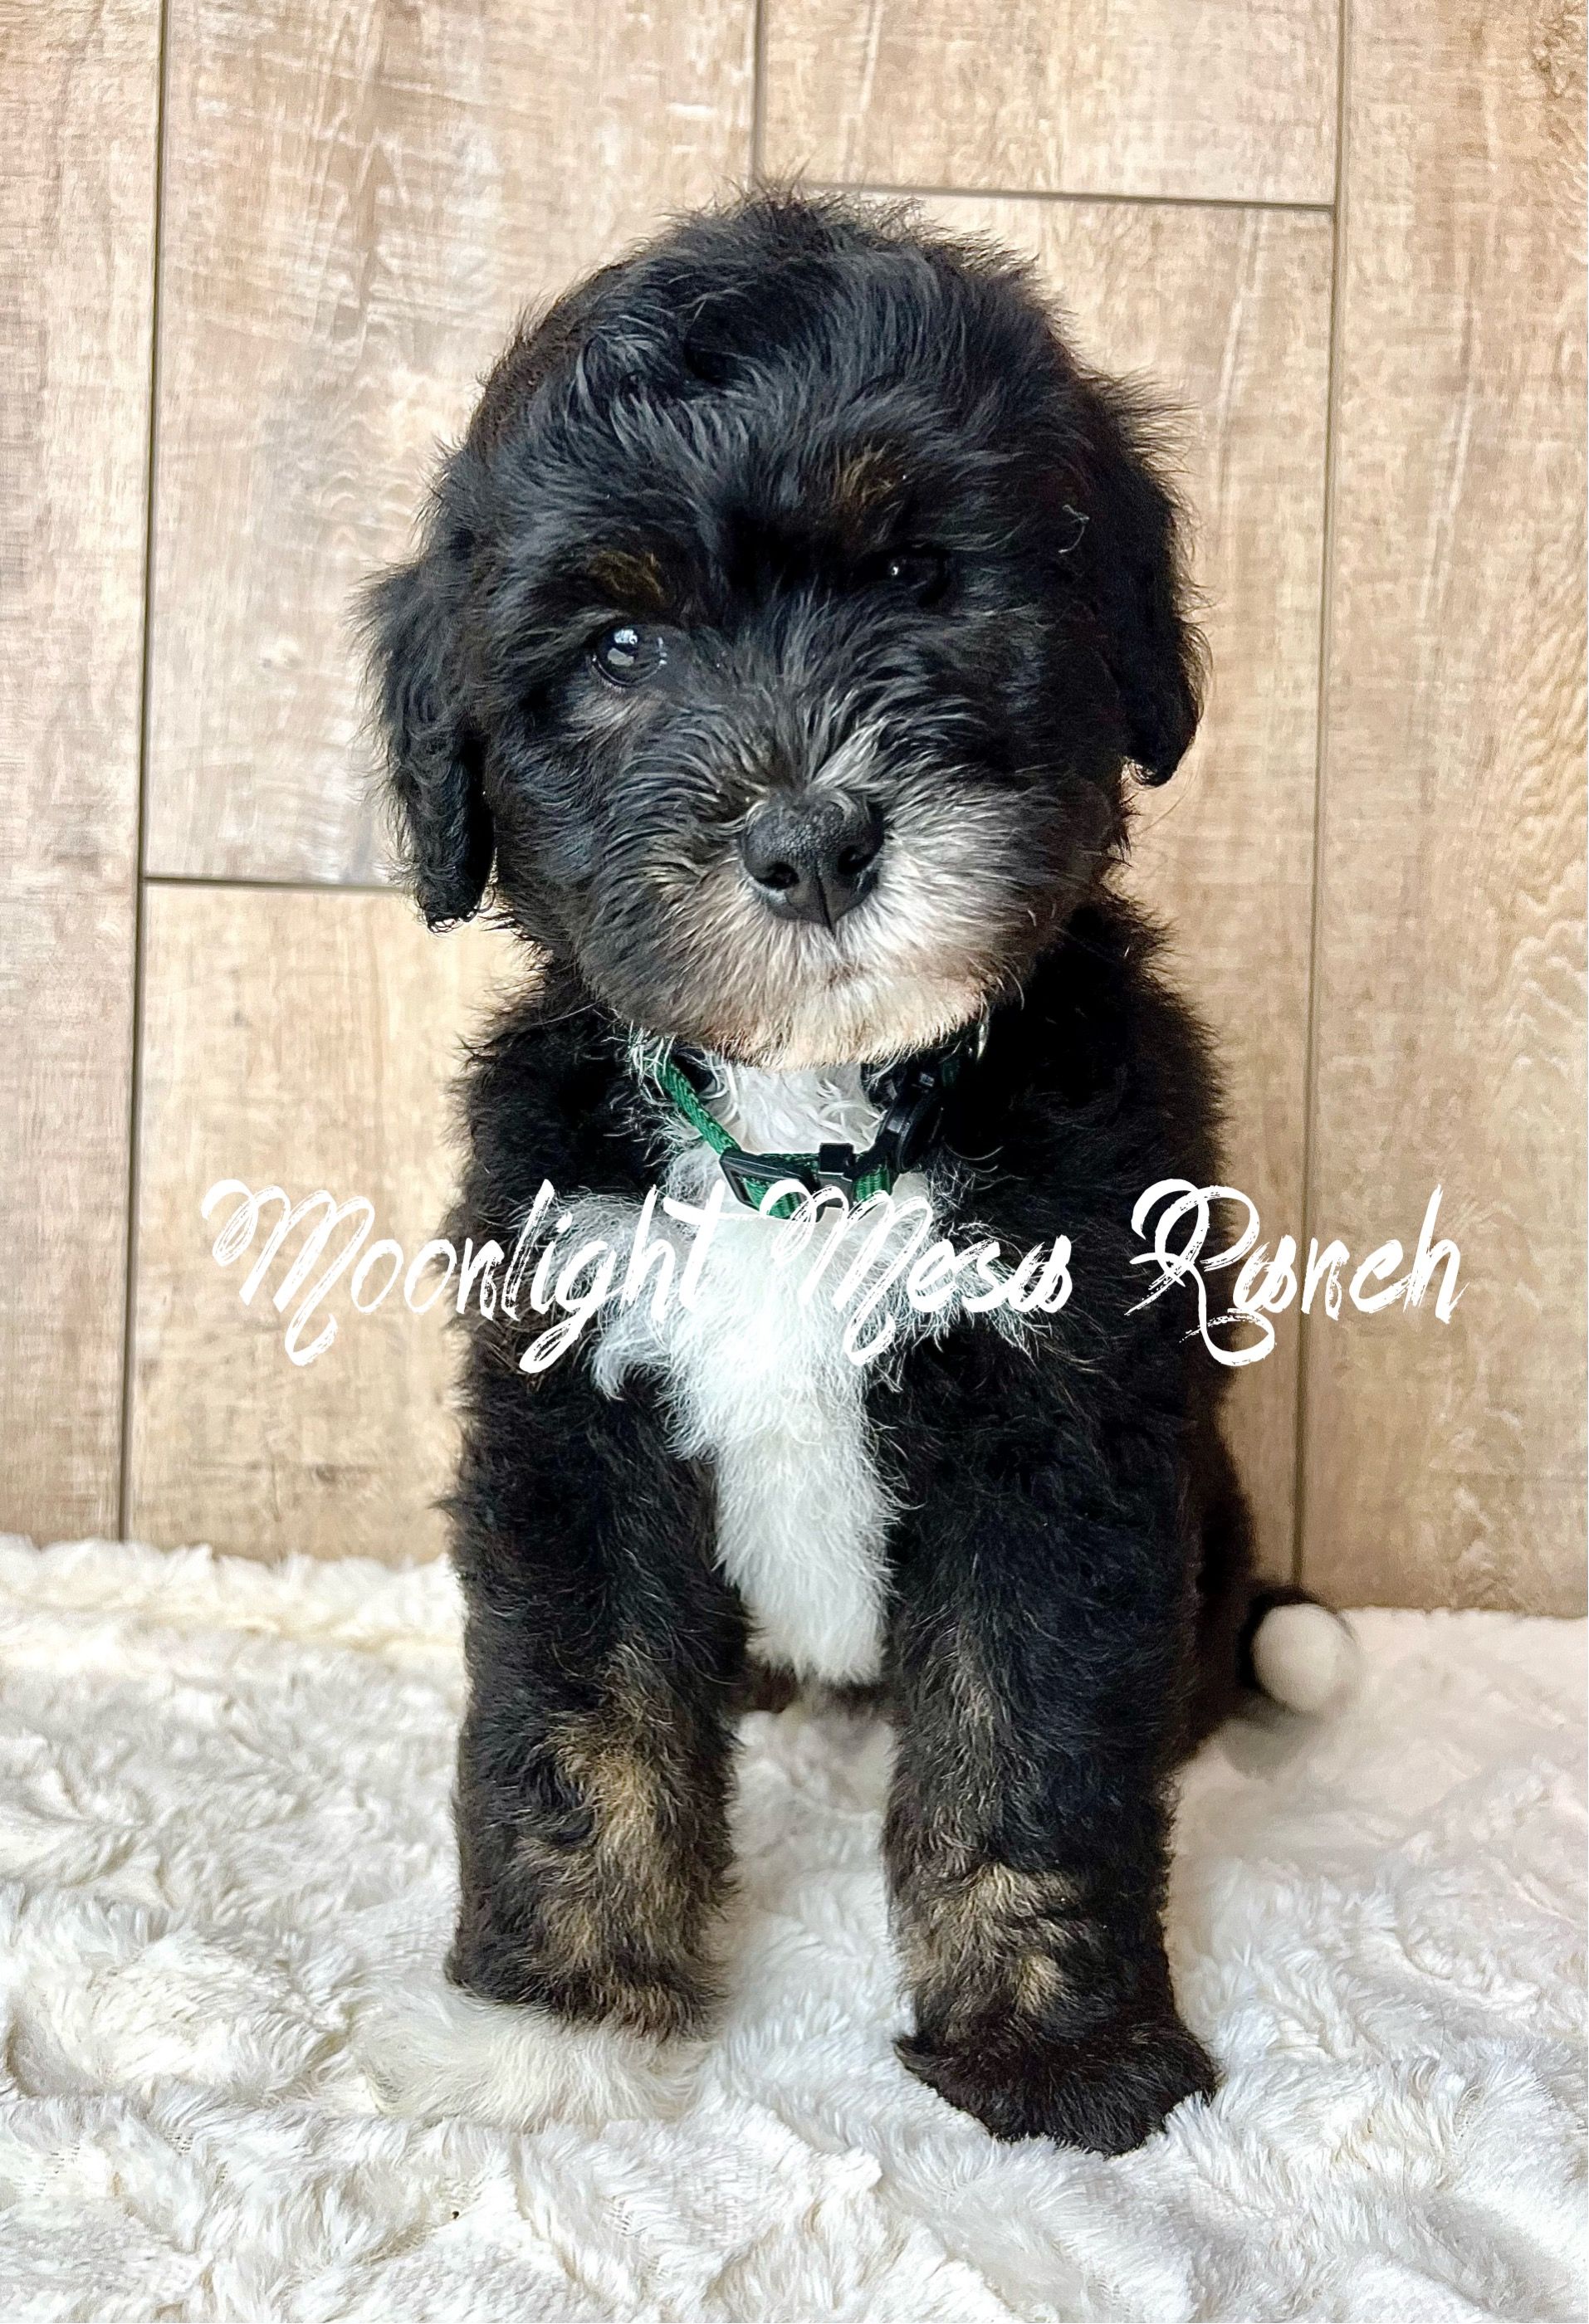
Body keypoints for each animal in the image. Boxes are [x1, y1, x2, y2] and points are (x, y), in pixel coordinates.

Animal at [364, 191, 1353, 2156]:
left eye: (913, 574)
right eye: (617, 653)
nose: (811, 840)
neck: (805, 1138)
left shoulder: (1062, 1420)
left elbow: (1028, 1742)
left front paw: (1058, 2051)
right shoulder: (574, 1401)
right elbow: (577, 1717)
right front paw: (552, 2025)